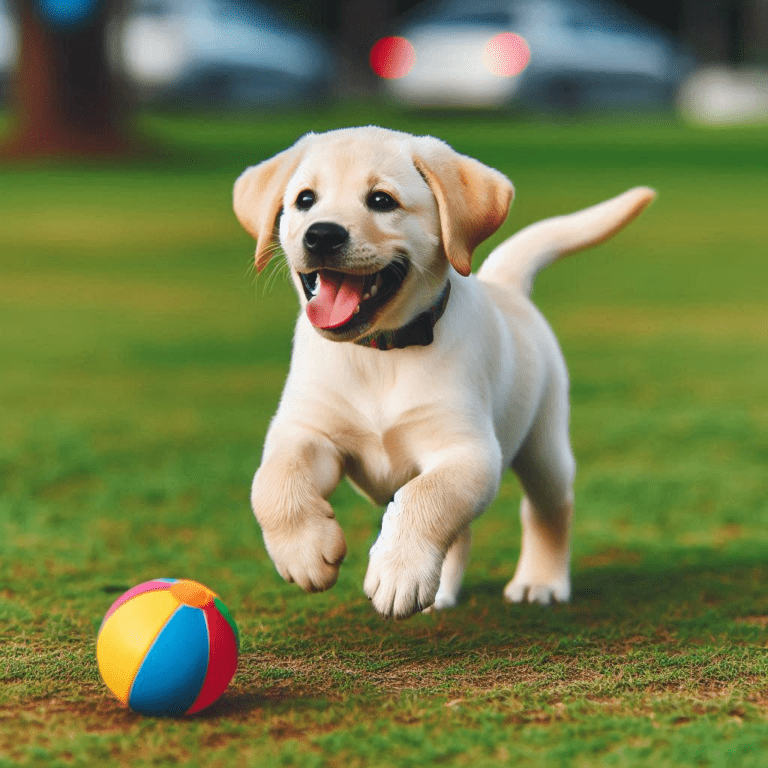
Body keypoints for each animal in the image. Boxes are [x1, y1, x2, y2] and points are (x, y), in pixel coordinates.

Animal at [234, 126, 656, 616]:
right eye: (305, 199)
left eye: (381, 200)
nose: (321, 235)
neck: (381, 352)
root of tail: (506, 286)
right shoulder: (306, 430)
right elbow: (271, 482)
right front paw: (304, 552)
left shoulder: (468, 452)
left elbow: (426, 497)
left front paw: (397, 572)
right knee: (462, 531)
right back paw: (440, 593)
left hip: (544, 444)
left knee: (549, 509)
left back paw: (540, 581)